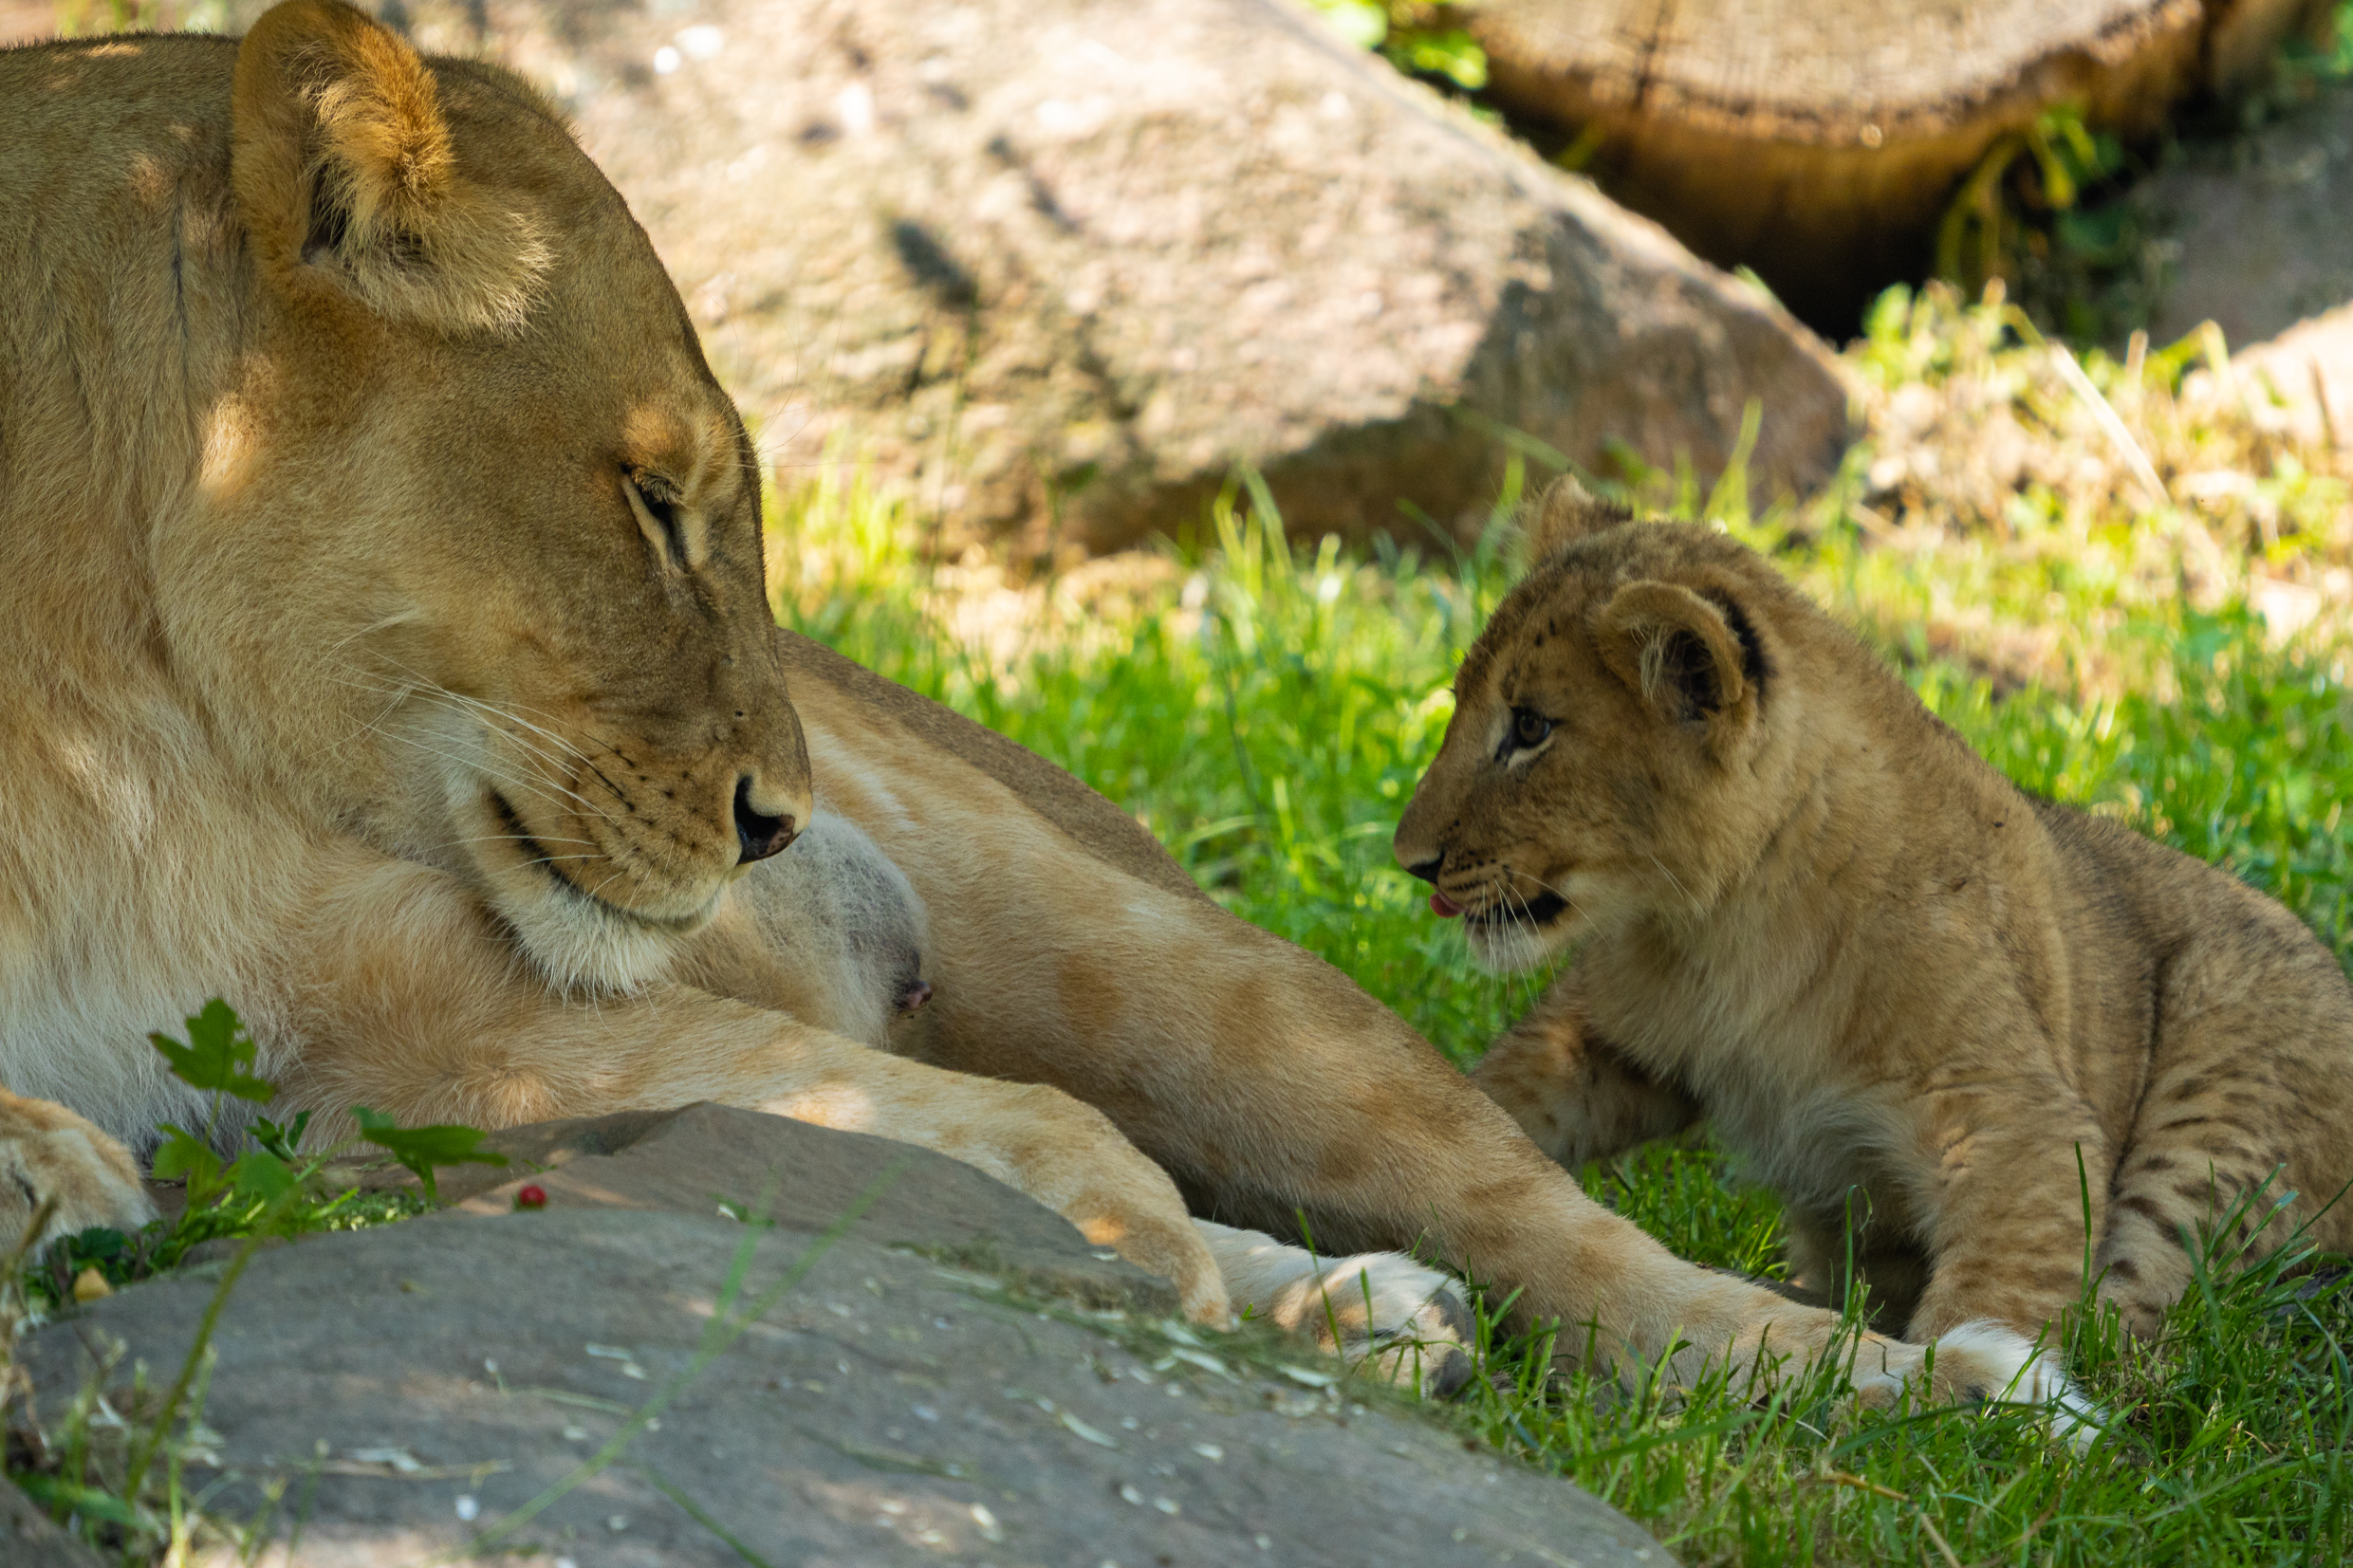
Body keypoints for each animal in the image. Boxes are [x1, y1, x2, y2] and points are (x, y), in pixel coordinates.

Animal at [0, 0, 2053, 1409]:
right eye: (655, 505)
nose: (779, 823)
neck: (126, 733)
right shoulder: (380, 1082)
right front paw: (48, 1162)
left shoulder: (435, 1033)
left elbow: (1034, 1136)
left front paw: (1168, 1274)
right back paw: (1360, 1315)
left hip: (1182, 964)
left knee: (1548, 1223)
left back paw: (1923, 1384)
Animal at [1397, 476, 2353, 1351]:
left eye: (1529, 727)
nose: (1411, 862)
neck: (1725, 925)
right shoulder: (1600, 1033)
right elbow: (1486, 1106)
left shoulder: (2018, 1119)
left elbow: (2001, 1293)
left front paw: (1961, 1407)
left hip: (2213, 1112)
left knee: (2135, 1337)